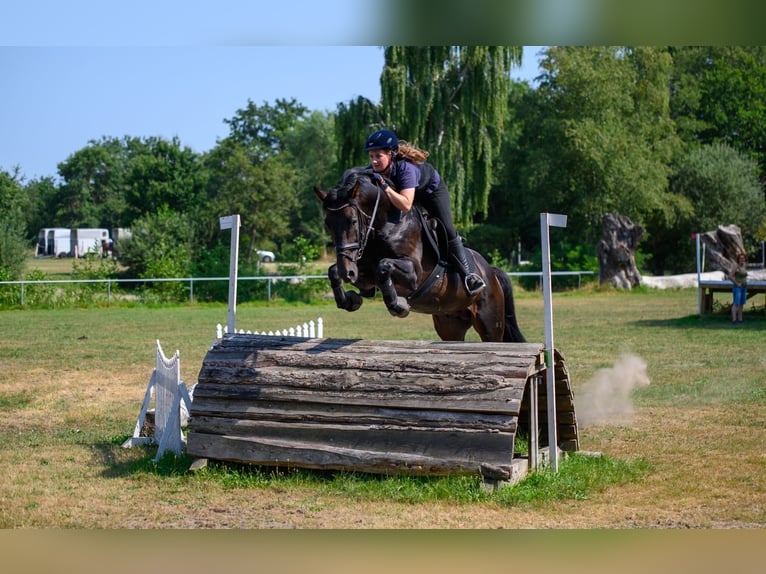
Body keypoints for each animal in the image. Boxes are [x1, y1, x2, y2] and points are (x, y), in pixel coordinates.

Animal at [314, 166, 528, 342]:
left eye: (352, 221)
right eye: (328, 224)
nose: (347, 272)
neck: (386, 224)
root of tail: (491, 272)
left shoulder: (414, 274)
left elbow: (384, 265)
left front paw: (398, 305)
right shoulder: (364, 273)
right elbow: (334, 271)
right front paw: (350, 300)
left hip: (490, 323)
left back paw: (473, 282)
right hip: (449, 324)